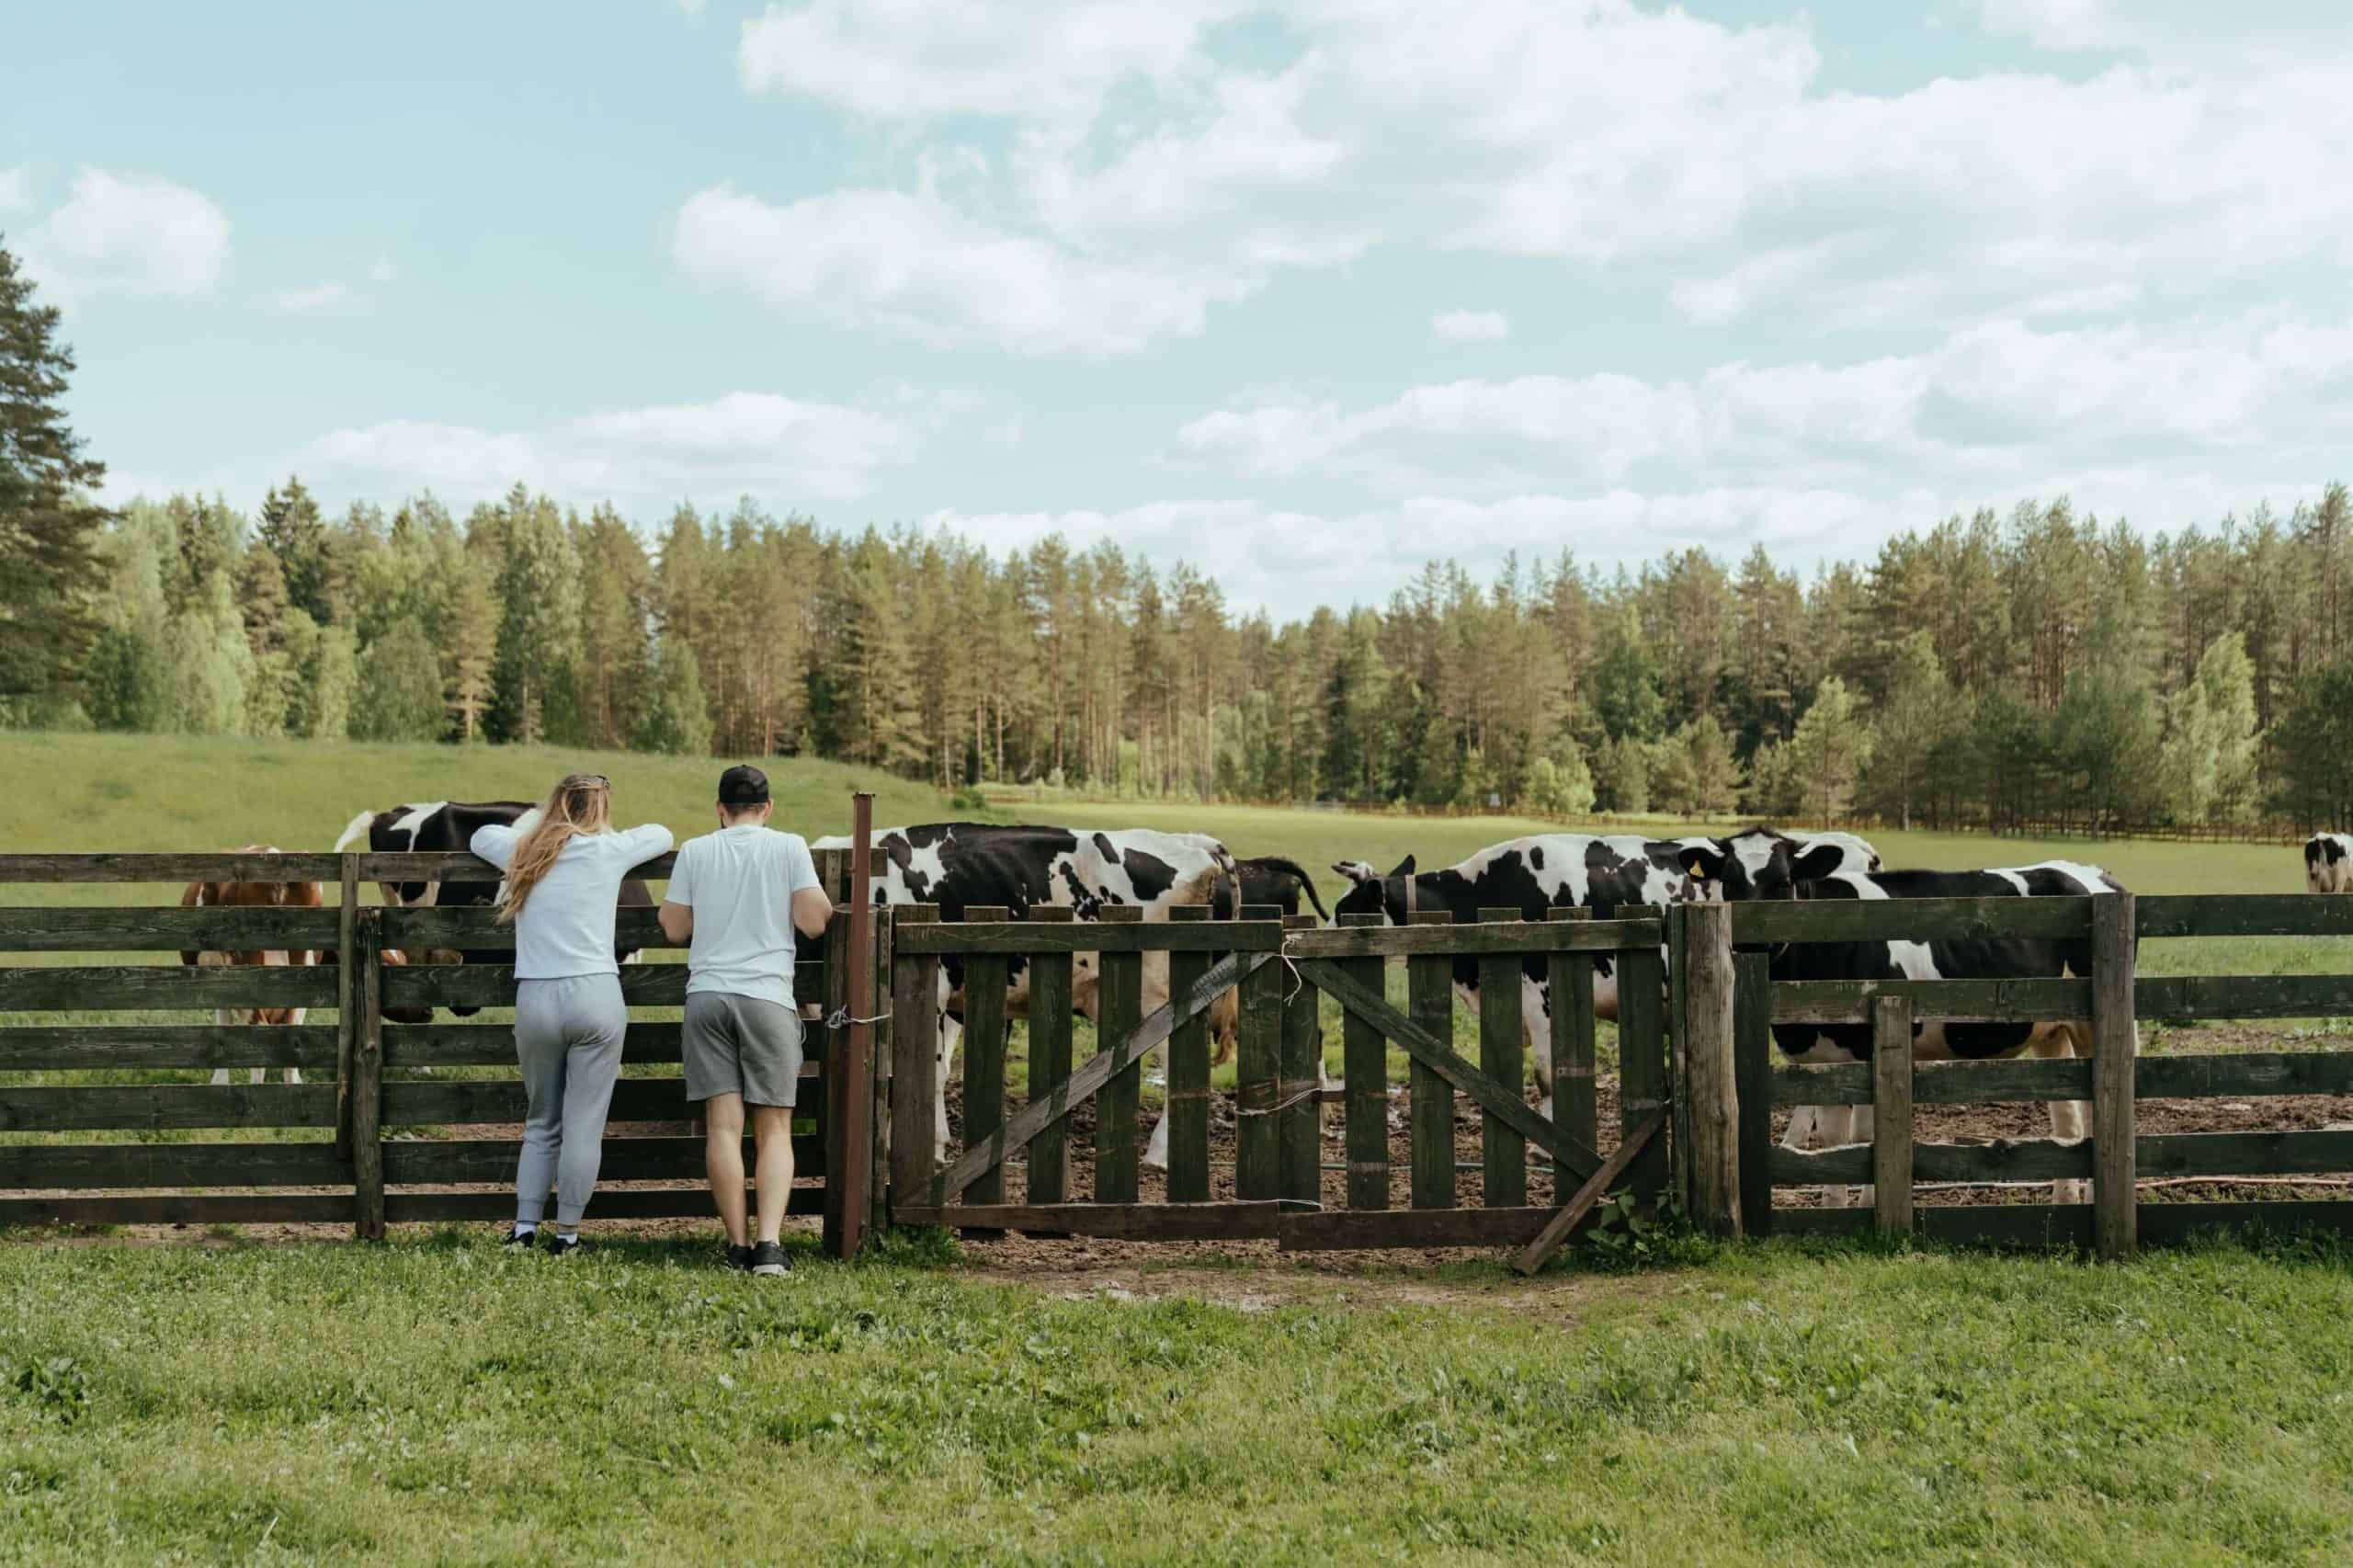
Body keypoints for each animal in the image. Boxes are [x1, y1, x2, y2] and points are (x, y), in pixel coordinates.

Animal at [809, 819, 1242, 1158]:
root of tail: (1193, 841)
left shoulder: (931, 991)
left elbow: (923, 1072)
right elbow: (940, 1069)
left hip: (1162, 991)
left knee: (1177, 1059)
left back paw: (1160, 1154)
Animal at [1769, 861, 2136, 1200]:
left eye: (1782, 880)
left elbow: (1863, 1140)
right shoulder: (1822, 1061)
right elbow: (1834, 1142)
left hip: (2094, 1030)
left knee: (2097, 1116)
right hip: (2052, 1033)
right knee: (2069, 1122)